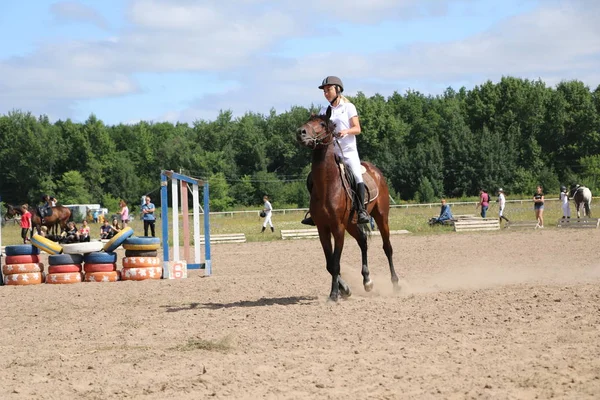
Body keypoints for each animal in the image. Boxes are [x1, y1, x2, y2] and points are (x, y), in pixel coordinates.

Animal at [296, 114, 398, 302]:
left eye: (322, 124)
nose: (301, 132)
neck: (327, 184)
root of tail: (376, 171)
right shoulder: (322, 228)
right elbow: (330, 264)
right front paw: (344, 289)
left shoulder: (338, 228)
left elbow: (335, 263)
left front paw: (334, 294)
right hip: (351, 223)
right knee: (363, 241)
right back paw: (367, 281)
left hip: (381, 217)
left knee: (387, 248)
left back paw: (395, 284)